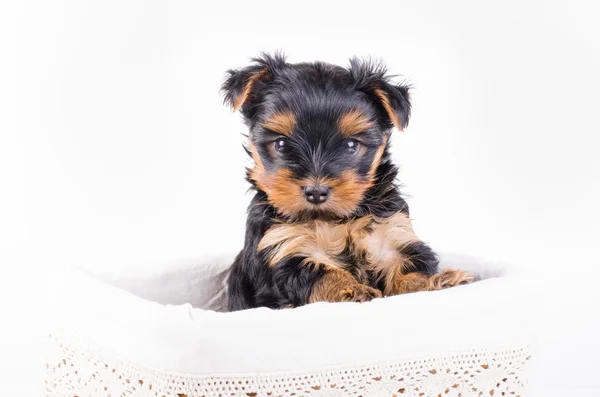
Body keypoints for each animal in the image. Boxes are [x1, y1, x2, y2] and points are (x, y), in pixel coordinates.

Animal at [220, 52, 474, 310]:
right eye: (280, 144)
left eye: (351, 145)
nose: (316, 192)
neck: (337, 220)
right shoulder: (283, 246)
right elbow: (322, 274)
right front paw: (350, 289)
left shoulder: (393, 234)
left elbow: (408, 267)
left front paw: (434, 282)